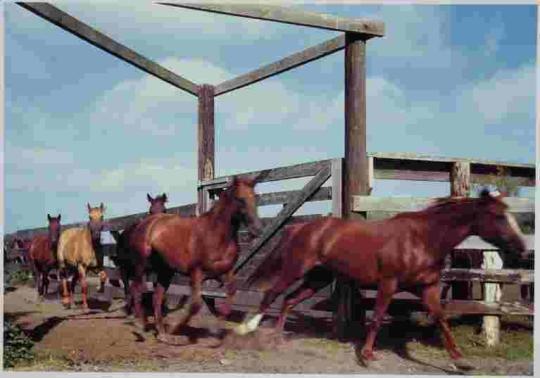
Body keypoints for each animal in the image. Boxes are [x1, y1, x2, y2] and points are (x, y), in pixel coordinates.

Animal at [126, 177, 262, 340]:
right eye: (240, 199)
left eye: (255, 197)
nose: (257, 229)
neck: (216, 234)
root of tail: (145, 223)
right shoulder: (196, 273)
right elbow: (195, 305)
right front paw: (175, 328)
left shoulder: (223, 272)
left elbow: (230, 296)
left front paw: (214, 330)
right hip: (141, 265)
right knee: (136, 290)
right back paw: (141, 326)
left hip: (165, 271)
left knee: (156, 296)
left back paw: (162, 333)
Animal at [237, 190, 528, 364]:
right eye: (498, 216)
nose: (522, 248)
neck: (423, 238)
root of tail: (300, 227)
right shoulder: (388, 283)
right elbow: (376, 317)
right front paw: (366, 355)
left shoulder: (428, 288)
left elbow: (441, 318)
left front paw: (460, 360)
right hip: (296, 269)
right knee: (271, 294)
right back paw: (247, 329)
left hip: (318, 278)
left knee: (288, 300)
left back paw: (276, 337)